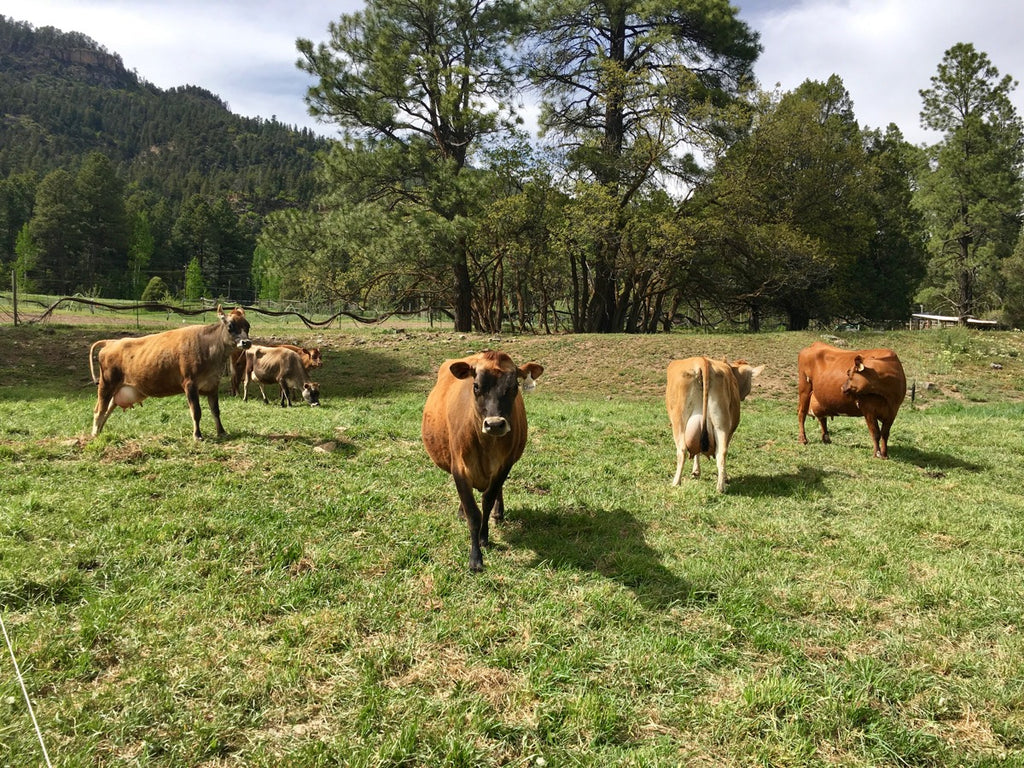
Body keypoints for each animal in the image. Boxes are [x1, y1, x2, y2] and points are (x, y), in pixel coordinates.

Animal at [91, 305, 251, 438]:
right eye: (230, 326)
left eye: (248, 326)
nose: (246, 342)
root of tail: (111, 342)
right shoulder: (190, 384)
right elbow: (196, 412)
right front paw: (197, 435)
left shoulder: (212, 385)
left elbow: (216, 410)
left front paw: (222, 432)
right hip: (106, 385)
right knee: (99, 410)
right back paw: (94, 435)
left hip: (117, 389)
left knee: (107, 410)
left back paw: (99, 432)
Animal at [419, 352, 544, 573]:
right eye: (476, 386)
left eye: (514, 386)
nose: (495, 424)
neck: (486, 445)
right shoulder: (459, 469)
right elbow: (473, 513)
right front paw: (475, 558)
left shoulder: (504, 466)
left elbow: (487, 501)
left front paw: (484, 537)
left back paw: (498, 513)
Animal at [667, 356, 765, 493]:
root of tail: (702, 360)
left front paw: (696, 472)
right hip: (721, 424)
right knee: (722, 453)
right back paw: (720, 487)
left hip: (679, 421)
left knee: (682, 450)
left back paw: (676, 482)